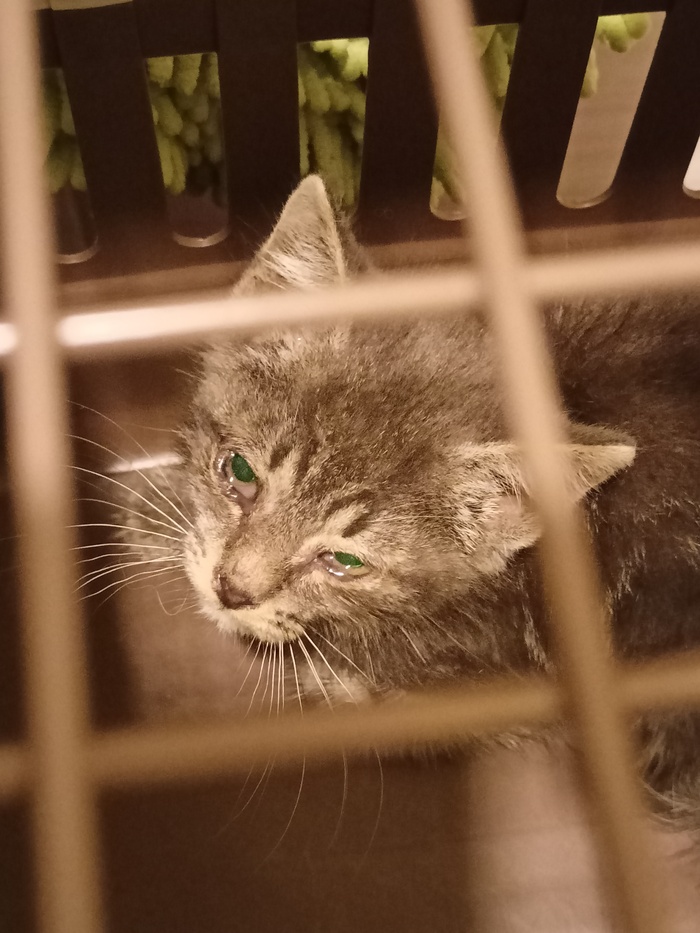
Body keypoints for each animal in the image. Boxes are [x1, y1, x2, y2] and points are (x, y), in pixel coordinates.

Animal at [114, 175, 700, 818]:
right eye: (239, 471)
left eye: (345, 561)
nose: (232, 590)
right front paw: (158, 505)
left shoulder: (474, 693)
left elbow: (336, 677)